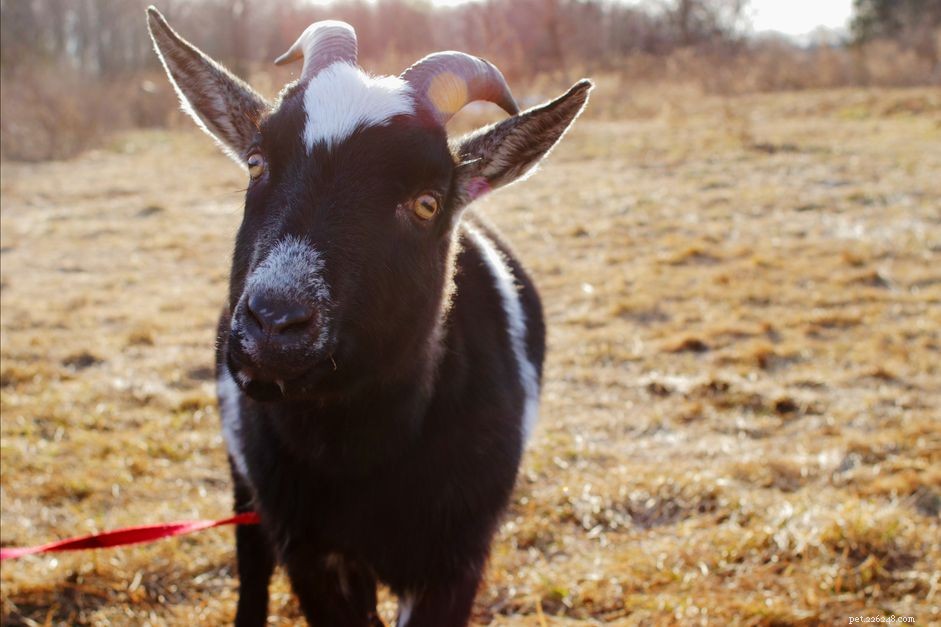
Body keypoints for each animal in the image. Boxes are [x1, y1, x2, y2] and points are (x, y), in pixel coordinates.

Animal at [146, 7, 591, 626]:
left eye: (428, 202)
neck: (363, 451)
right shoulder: (312, 552)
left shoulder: (453, 559)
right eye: (256, 163)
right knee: (251, 557)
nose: (273, 323)